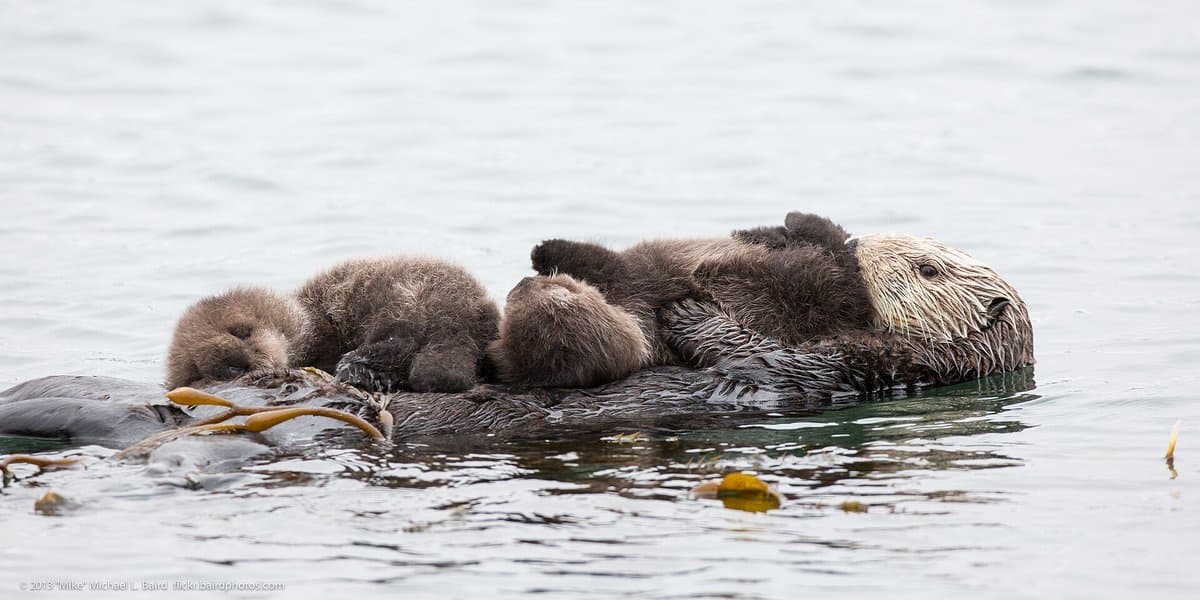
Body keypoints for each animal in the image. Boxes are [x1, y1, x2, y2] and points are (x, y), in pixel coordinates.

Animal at [165, 257, 500, 393]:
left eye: (242, 331)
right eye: (199, 369)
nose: (241, 362)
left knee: (400, 343)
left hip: (407, 300)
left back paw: (356, 368)